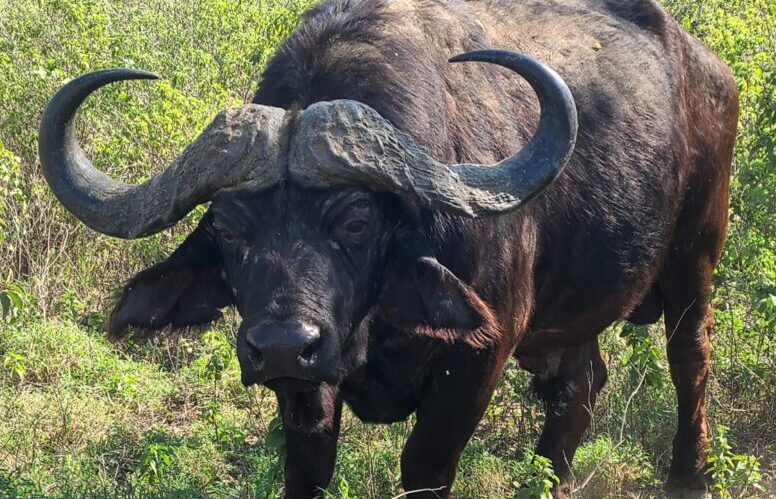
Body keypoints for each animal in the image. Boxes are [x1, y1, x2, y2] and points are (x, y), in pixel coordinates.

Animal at [39, 0, 738, 497]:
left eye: (355, 222)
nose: (284, 343)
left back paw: (691, 476)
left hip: (695, 258)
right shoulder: (305, 387)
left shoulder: (476, 360)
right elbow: (309, 464)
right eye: (231, 230)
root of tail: (708, 68)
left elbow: (423, 465)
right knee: (580, 383)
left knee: (689, 359)